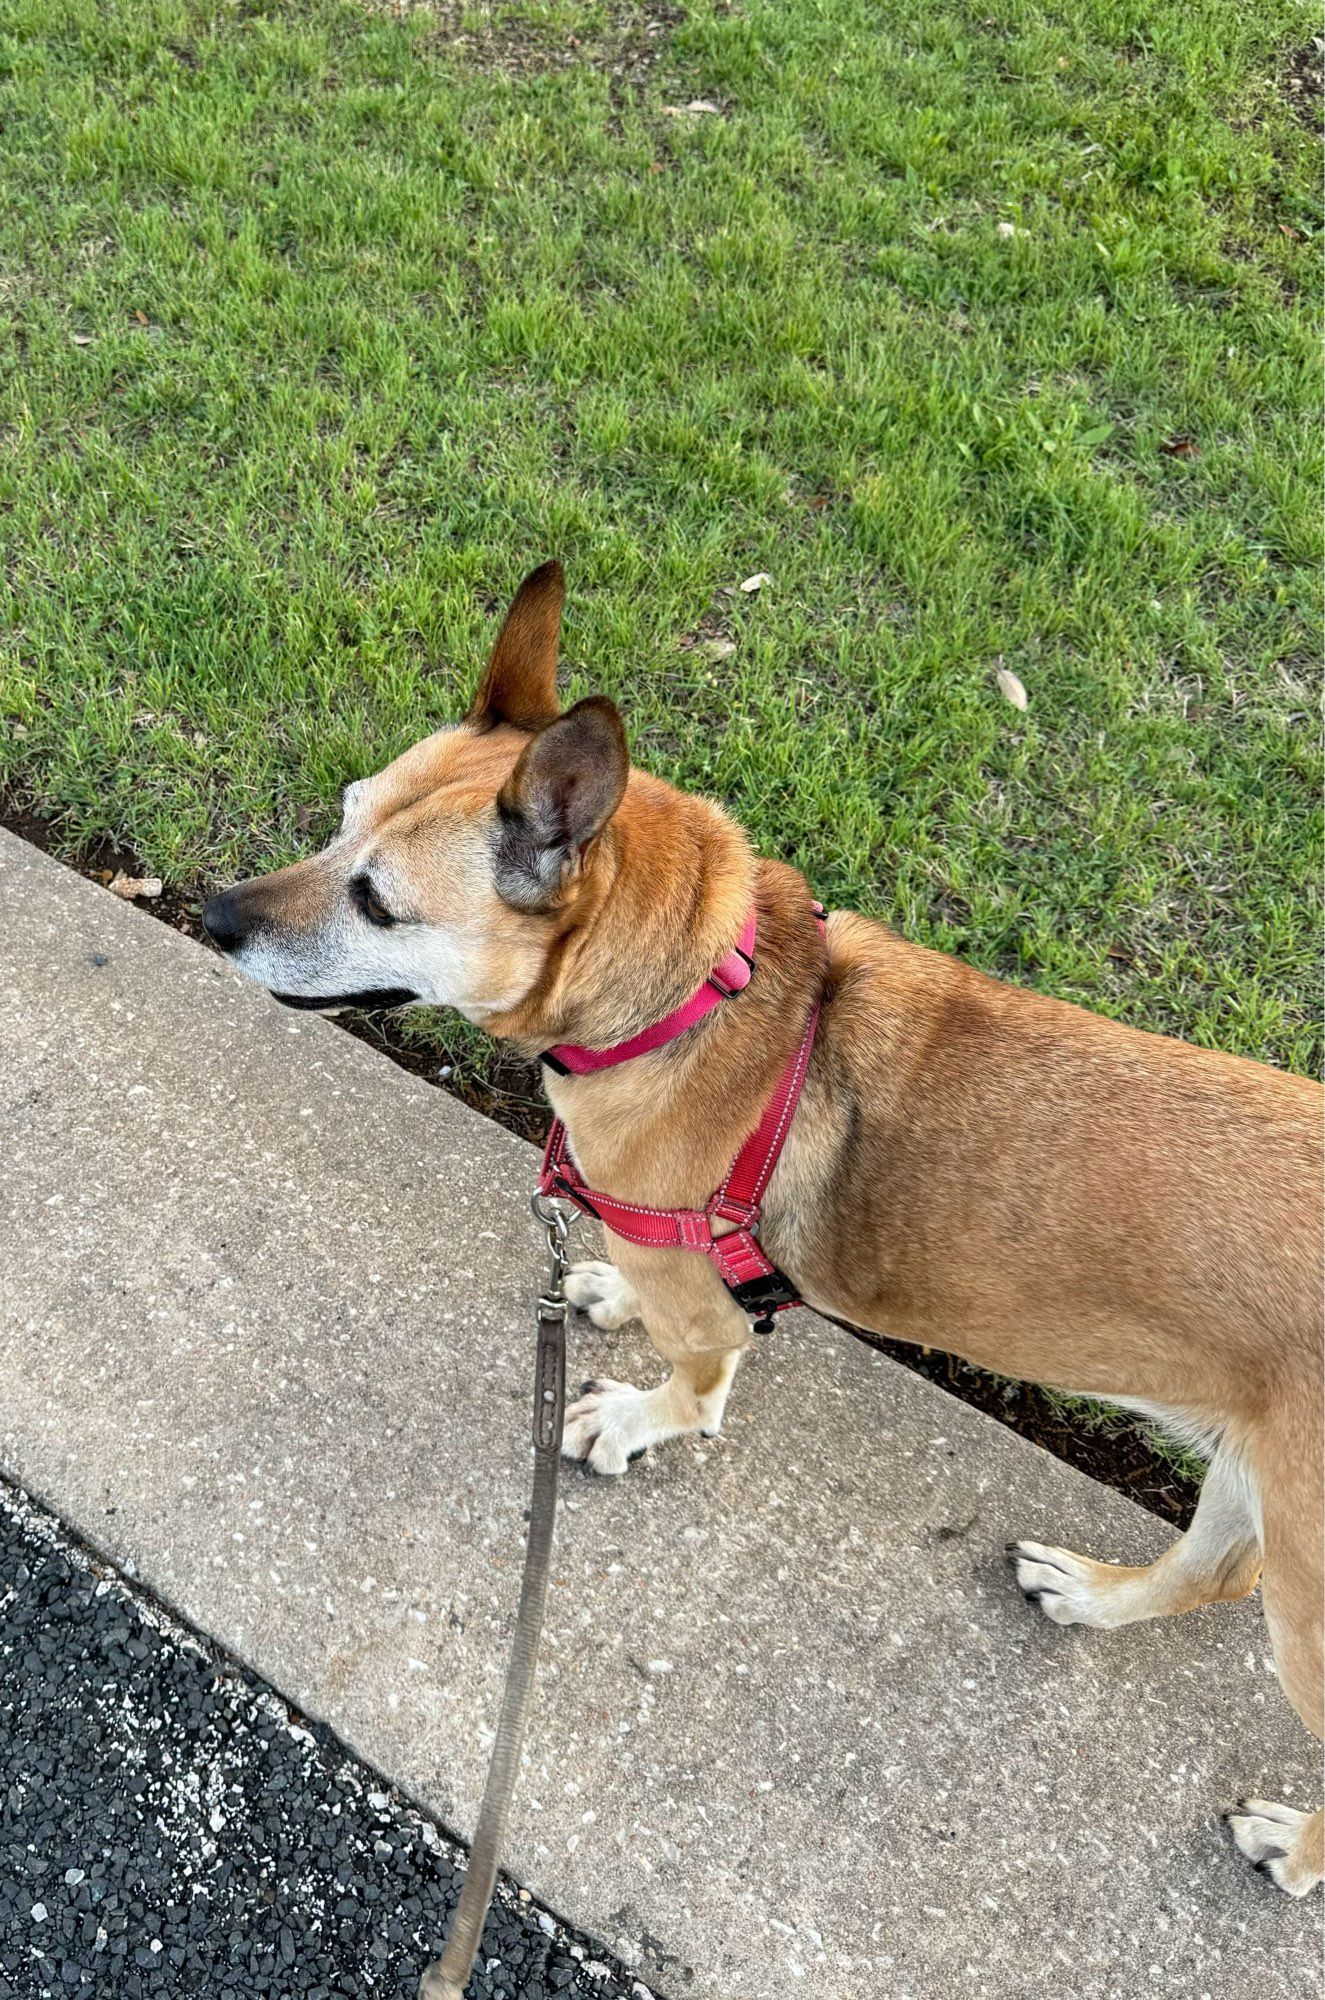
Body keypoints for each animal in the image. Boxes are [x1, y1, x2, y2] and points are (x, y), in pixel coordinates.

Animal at [202, 560, 1320, 1888]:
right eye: (339, 819)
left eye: (376, 902)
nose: (213, 916)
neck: (680, 995)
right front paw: (604, 1291)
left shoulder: (712, 1326)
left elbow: (693, 1390)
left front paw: (632, 1419)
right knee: (1209, 1571)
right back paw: (1090, 1594)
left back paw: (1293, 1849)